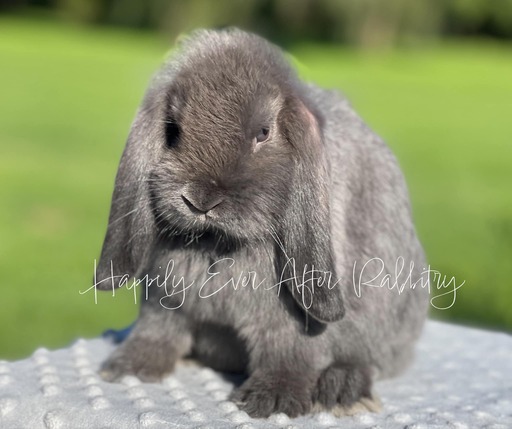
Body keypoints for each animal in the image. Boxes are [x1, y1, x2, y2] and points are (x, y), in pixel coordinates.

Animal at [94, 28, 430, 416]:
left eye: (264, 133)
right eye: (173, 131)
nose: (200, 200)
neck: (217, 244)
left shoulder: (292, 320)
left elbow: (290, 352)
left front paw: (270, 400)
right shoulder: (164, 298)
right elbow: (157, 330)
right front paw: (127, 367)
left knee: (367, 360)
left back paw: (343, 390)